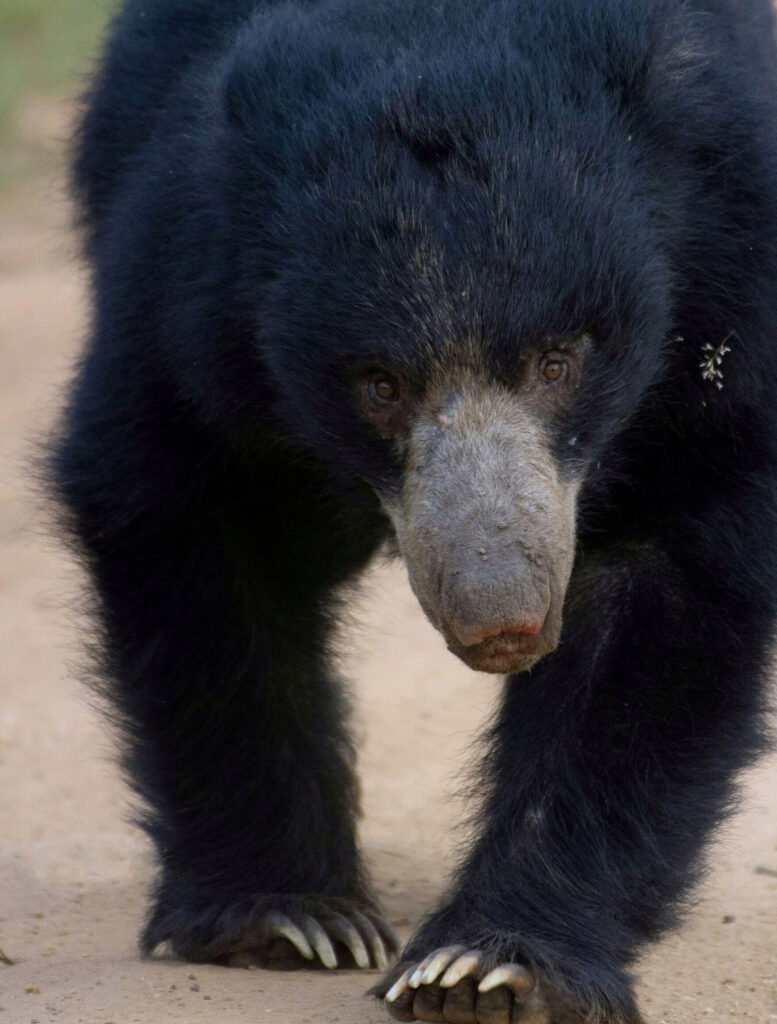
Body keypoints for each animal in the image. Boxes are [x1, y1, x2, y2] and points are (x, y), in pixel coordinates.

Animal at [53, 0, 777, 1019]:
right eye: (380, 386)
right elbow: (183, 525)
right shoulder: (184, 287)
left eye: (557, 362)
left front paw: (490, 965)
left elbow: (666, 594)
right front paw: (285, 917)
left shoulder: (727, 286)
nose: (503, 620)